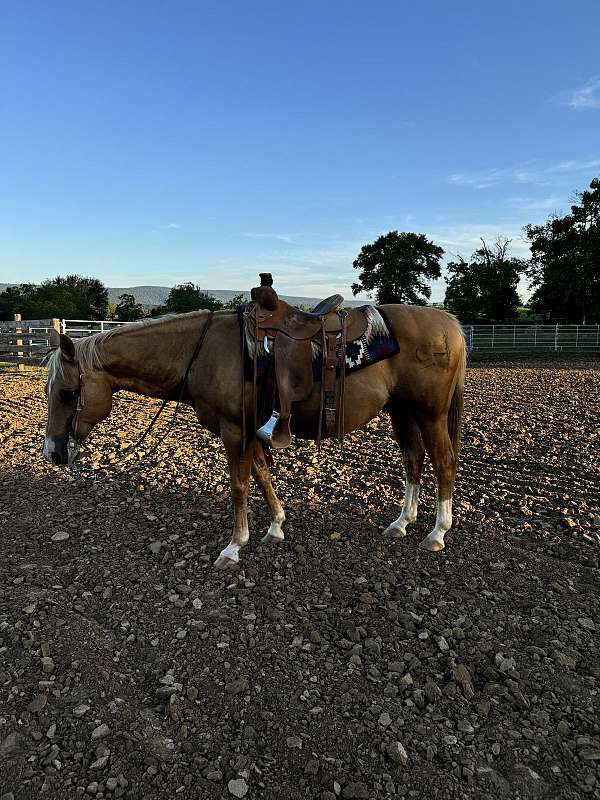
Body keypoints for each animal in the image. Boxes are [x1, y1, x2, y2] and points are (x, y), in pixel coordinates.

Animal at [44, 306, 466, 568]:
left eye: (66, 393)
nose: (53, 453)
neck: (204, 352)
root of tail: (449, 324)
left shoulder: (234, 430)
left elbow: (240, 485)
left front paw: (233, 547)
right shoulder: (252, 431)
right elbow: (263, 477)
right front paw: (275, 527)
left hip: (429, 413)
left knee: (443, 463)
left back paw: (437, 533)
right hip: (402, 412)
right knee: (413, 461)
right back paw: (402, 523)